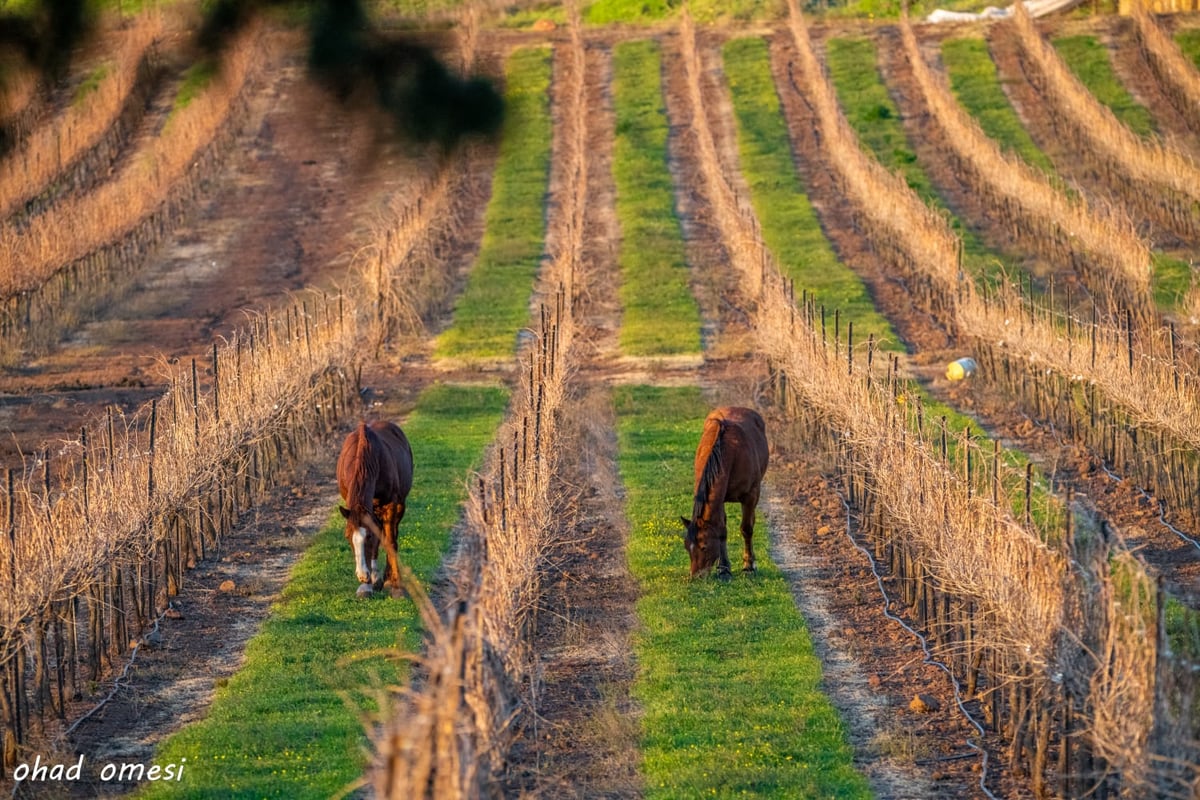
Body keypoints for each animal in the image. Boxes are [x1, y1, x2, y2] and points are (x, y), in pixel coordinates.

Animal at [336, 419, 415, 594]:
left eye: (369, 537)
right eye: (347, 536)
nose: (362, 575)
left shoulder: (390, 504)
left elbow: (388, 541)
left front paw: (395, 583)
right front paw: (368, 584)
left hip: (399, 505)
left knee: (393, 535)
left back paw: (387, 577)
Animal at [676, 410, 768, 578]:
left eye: (704, 547)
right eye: (686, 546)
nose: (696, 576)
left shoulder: (750, 496)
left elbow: (746, 529)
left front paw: (748, 566)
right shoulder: (719, 500)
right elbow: (722, 531)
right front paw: (724, 568)